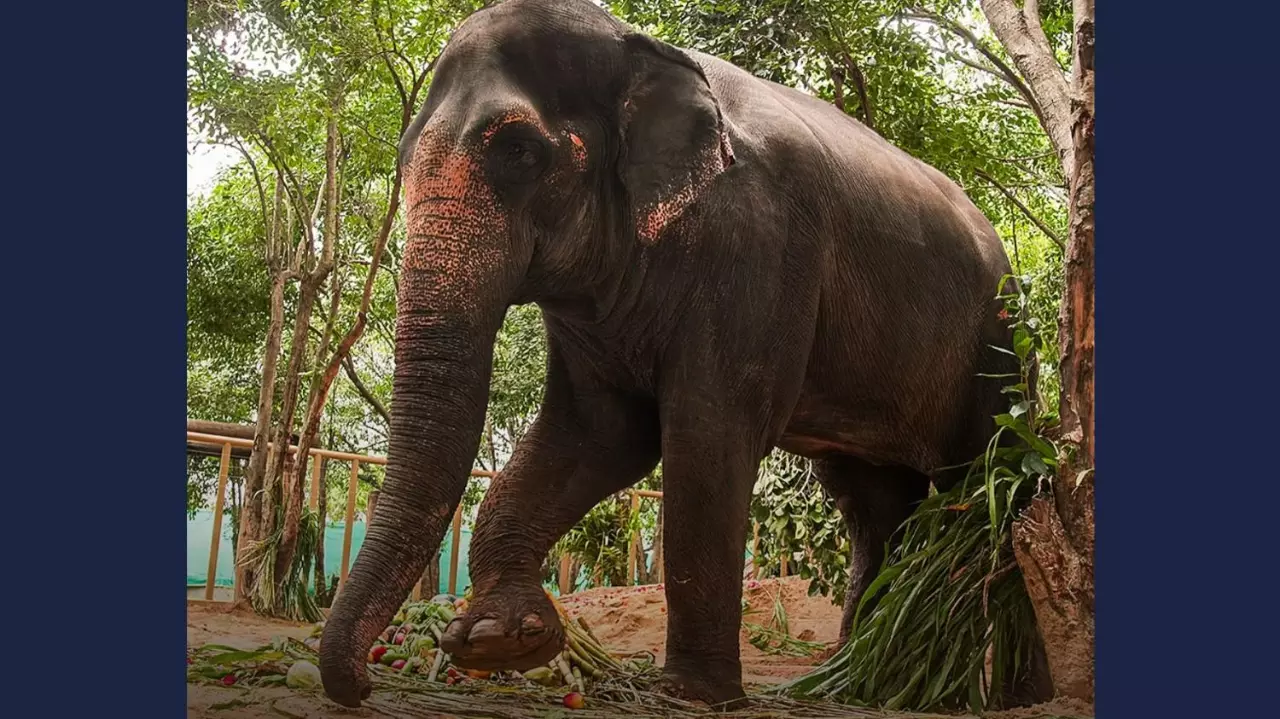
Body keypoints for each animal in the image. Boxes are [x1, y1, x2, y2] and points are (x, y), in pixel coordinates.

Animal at [319, 0, 1018, 708]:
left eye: (519, 151)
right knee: (874, 509)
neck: (644, 52)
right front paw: (503, 640)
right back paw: (851, 688)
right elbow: (599, 435)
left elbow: (706, 434)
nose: (361, 687)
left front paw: (695, 695)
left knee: (984, 484)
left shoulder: (760, 242)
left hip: (999, 346)